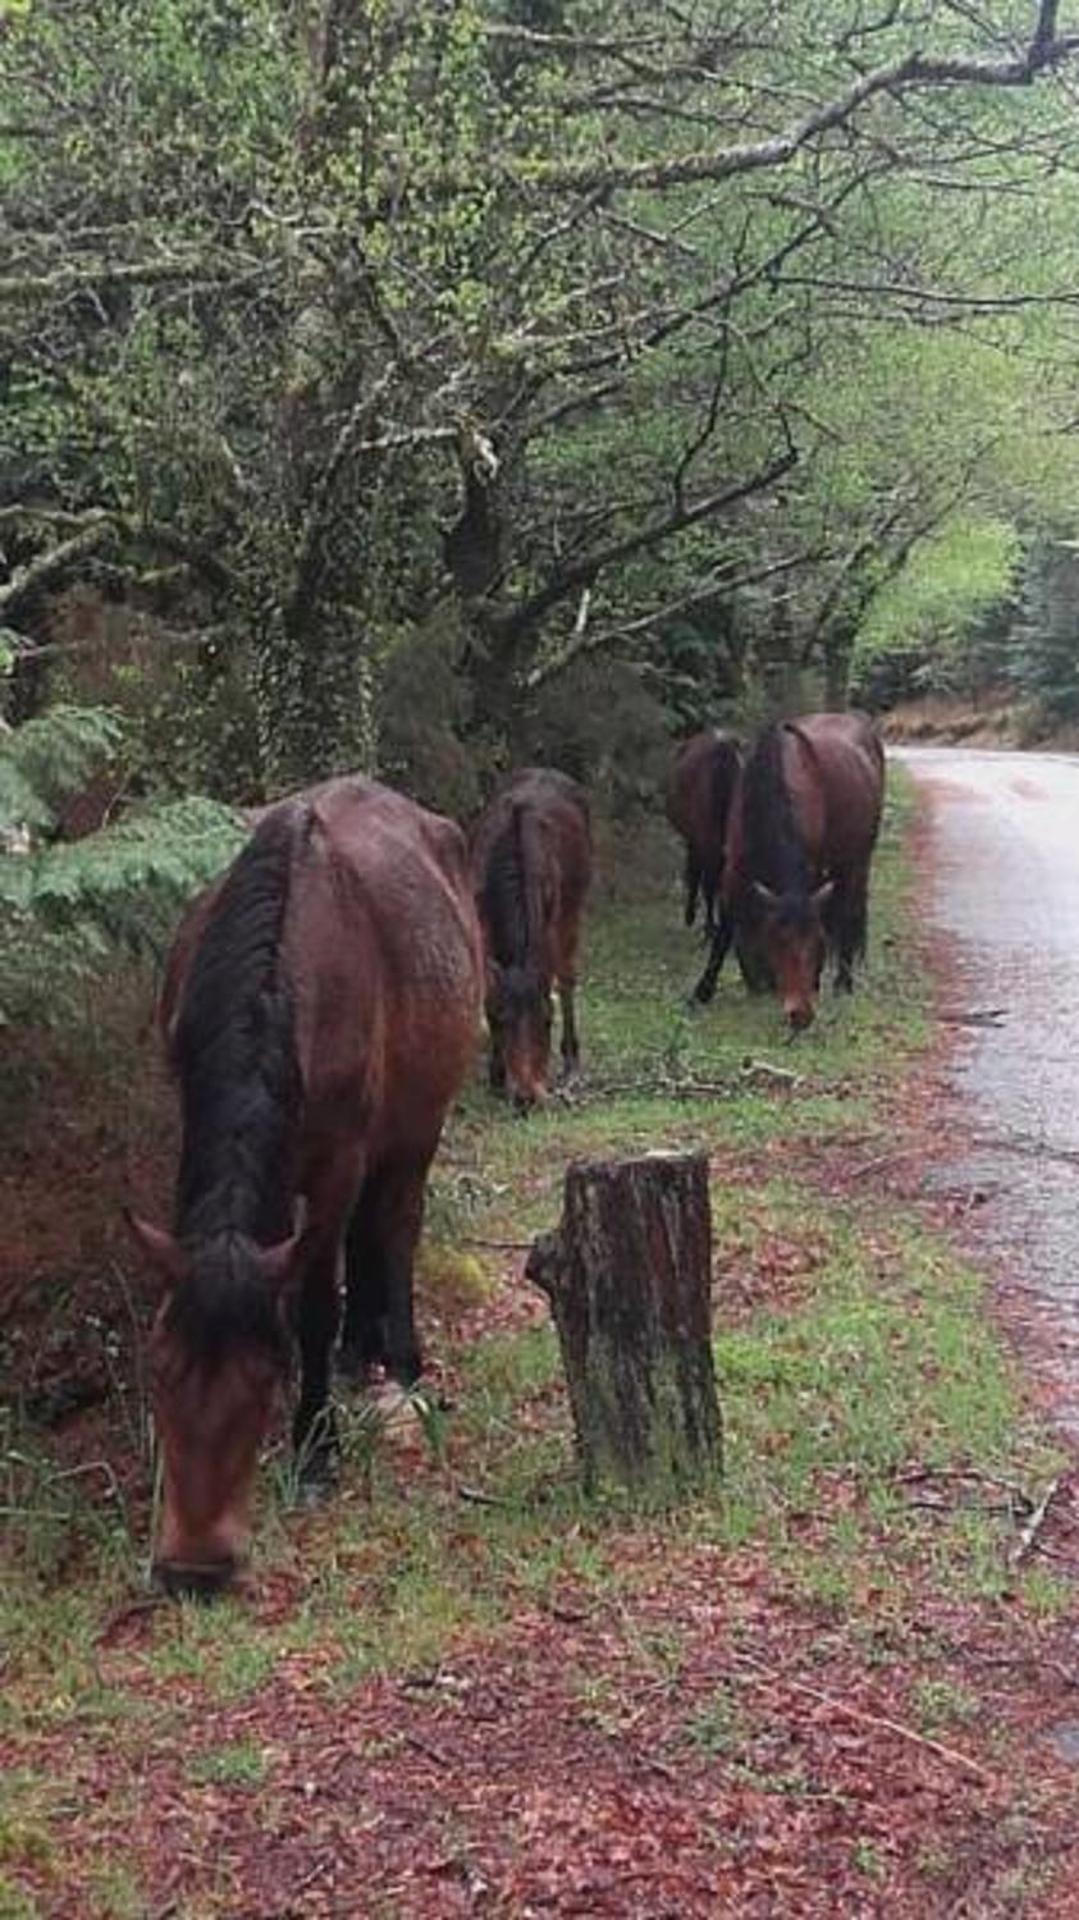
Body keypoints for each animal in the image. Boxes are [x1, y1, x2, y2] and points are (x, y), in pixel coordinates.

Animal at [125, 777, 482, 1597]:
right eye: (159, 1372)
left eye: (264, 1378)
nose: (195, 1567)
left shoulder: (338, 1155)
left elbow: (315, 1300)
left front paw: (316, 1448)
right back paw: (360, 1352)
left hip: (417, 1121)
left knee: (395, 1223)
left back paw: (400, 1362)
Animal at [470, 768, 592, 1110]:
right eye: (500, 1020)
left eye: (547, 1020)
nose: (527, 1096)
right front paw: (497, 1075)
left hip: (573, 907)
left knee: (567, 976)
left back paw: (571, 1059)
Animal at [693, 712, 885, 1026]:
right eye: (778, 941)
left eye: (817, 943)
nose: (801, 1014)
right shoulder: (734, 868)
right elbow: (726, 929)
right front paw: (705, 990)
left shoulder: (813, 869)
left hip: (857, 861)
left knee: (849, 913)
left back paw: (843, 983)